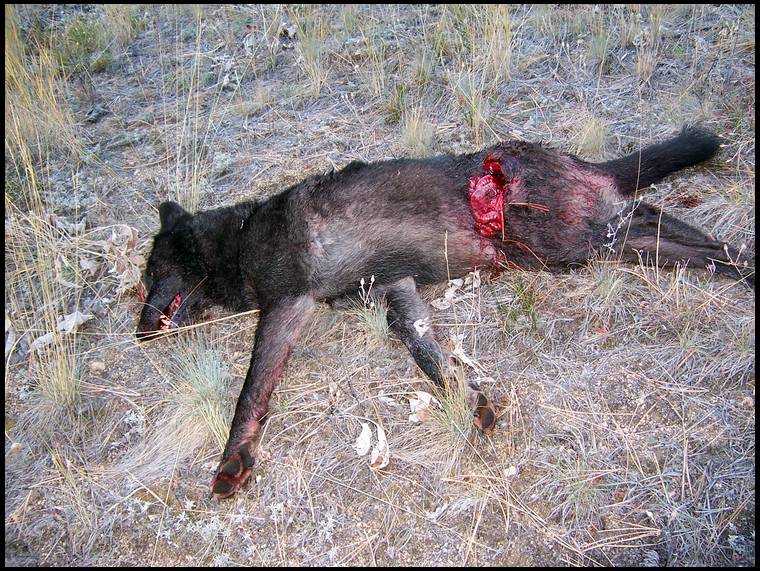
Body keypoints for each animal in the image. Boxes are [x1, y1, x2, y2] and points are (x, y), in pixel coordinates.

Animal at [136, 126, 753, 499]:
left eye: (150, 275)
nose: (139, 333)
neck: (239, 239)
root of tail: (580, 162)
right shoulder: (397, 289)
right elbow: (426, 351)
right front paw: (471, 402)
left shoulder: (285, 307)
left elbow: (250, 391)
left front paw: (232, 461)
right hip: (587, 240)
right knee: (670, 229)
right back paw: (741, 262)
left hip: (565, 244)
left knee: (651, 219)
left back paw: (738, 260)